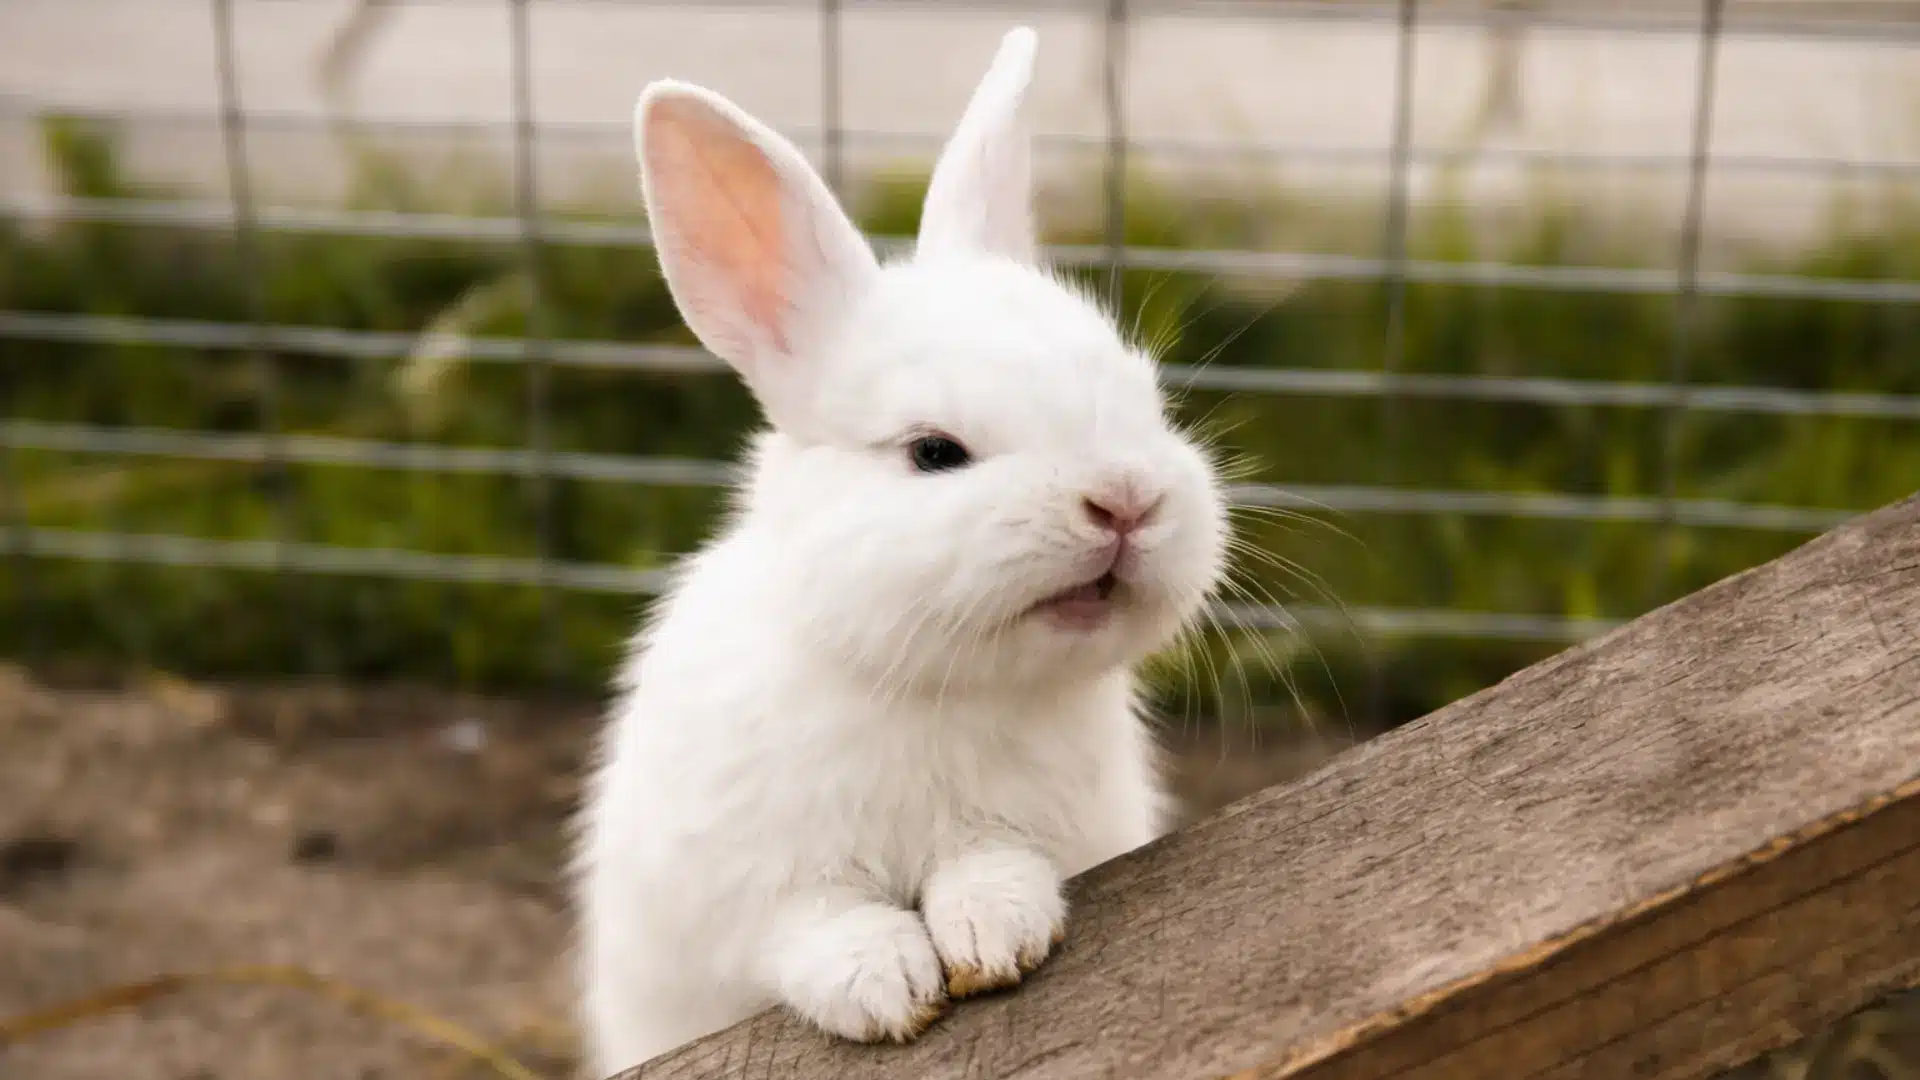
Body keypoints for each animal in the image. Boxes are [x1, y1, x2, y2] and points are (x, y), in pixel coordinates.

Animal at [573, 26, 1229, 1077]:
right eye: (934, 452)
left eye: (1148, 399)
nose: (1125, 501)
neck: (932, 690)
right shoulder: (741, 887)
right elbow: (808, 927)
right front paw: (884, 985)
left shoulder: (1035, 829)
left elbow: (994, 866)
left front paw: (992, 934)